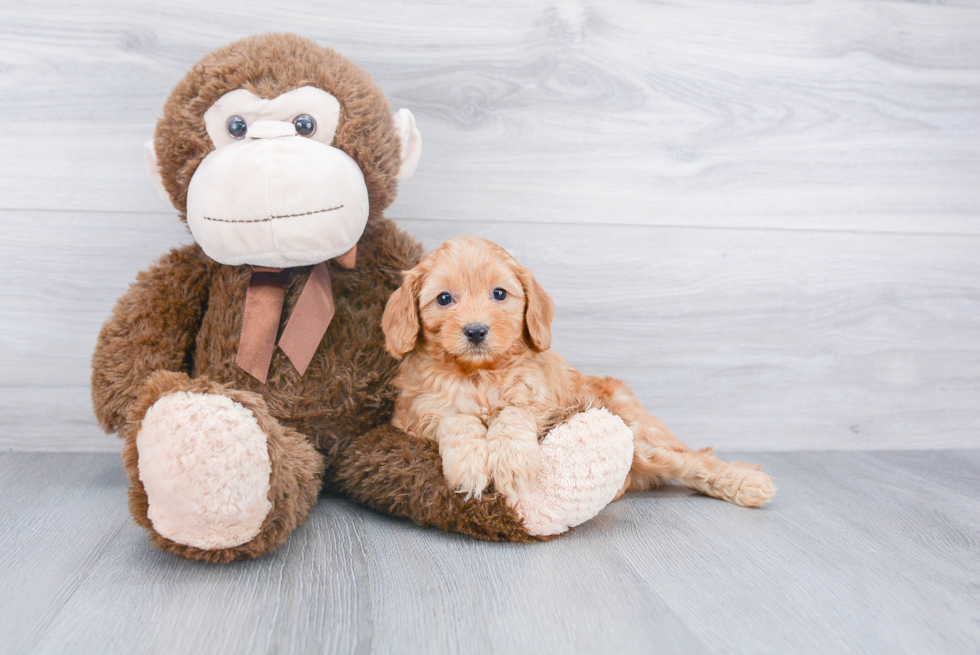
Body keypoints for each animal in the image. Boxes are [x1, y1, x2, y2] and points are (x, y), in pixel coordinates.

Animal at [380, 236, 772, 508]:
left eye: (499, 294)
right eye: (444, 299)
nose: (476, 332)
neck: (479, 374)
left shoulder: (546, 402)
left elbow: (513, 414)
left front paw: (513, 461)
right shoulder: (415, 411)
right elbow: (455, 418)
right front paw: (469, 463)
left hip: (639, 433)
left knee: (695, 461)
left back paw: (747, 484)